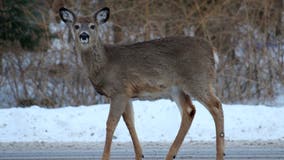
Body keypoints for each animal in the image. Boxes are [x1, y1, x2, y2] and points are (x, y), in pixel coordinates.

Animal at [59, 6, 224, 160]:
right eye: (76, 26)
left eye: (93, 26)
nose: (84, 35)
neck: (105, 64)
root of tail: (213, 51)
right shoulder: (126, 93)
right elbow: (129, 122)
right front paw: (140, 155)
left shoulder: (119, 90)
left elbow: (111, 123)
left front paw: (105, 157)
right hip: (177, 89)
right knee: (189, 110)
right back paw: (170, 155)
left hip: (197, 80)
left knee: (216, 106)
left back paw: (219, 154)